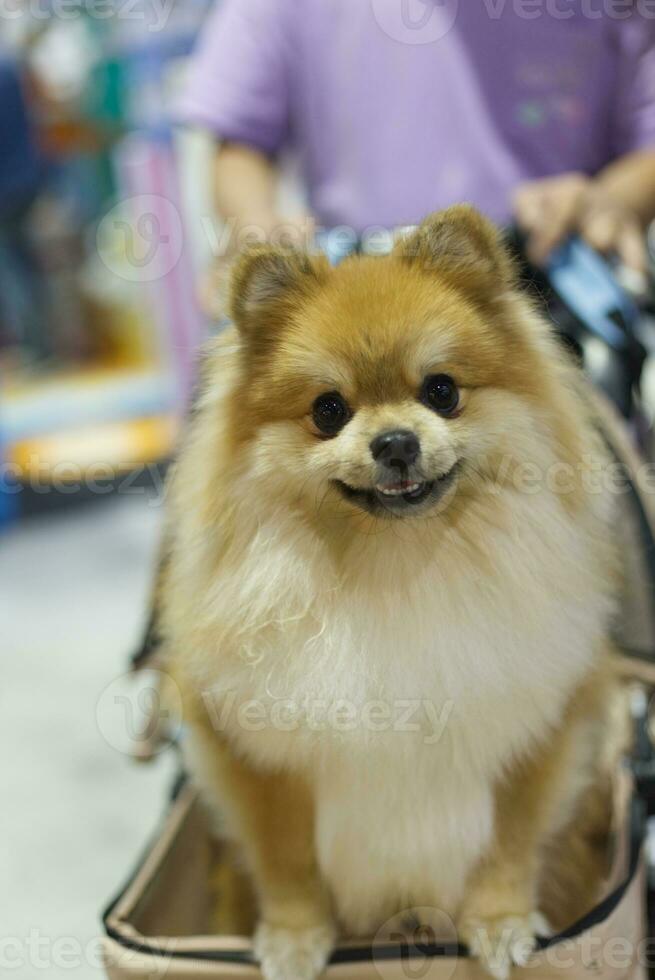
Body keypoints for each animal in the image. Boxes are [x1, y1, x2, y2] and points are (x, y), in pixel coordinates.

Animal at [159, 207, 620, 980]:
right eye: (328, 410)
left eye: (442, 391)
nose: (396, 442)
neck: (393, 569)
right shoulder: (260, 760)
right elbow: (285, 861)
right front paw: (294, 939)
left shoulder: (534, 734)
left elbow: (510, 841)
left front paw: (498, 923)